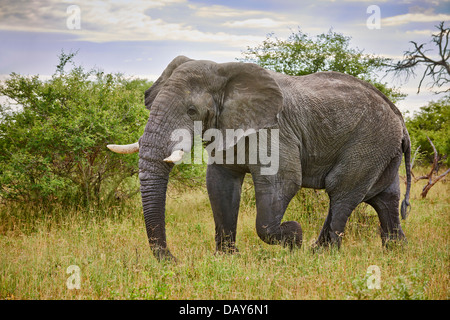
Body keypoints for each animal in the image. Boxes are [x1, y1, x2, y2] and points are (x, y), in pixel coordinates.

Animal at [106, 55, 412, 260]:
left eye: (191, 111)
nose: (172, 260)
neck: (223, 72)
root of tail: (398, 116)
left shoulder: (275, 131)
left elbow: (282, 182)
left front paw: (294, 236)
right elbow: (220, 183)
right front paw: (226, 258)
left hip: (369, 142)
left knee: (342, 192)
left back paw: (322, 253)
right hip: (382, 148)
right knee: (384, 198)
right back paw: (395, 252)